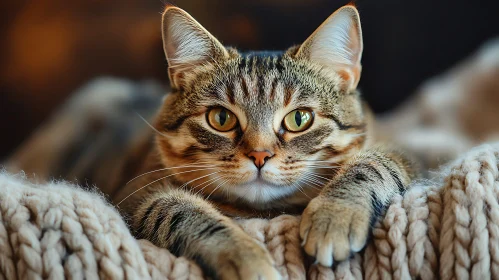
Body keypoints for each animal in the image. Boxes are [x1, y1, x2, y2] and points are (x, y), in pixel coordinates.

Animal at [116, 4, 418, 280]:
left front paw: (335, 215)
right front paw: (244, 256)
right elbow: (180, 209)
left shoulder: (403, 154)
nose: (259, 155)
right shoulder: (136, 196)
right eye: (221, 118)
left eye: (299, 118)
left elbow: (372, 163)